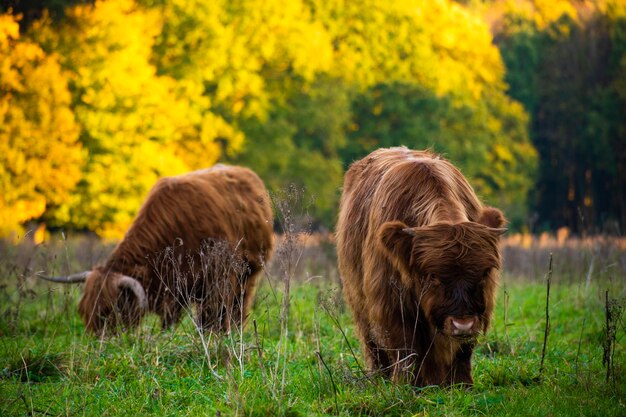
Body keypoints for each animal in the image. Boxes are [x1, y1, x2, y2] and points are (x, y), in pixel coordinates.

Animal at [39, 165, 272, 334]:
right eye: (83, 312)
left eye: (109, 311)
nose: (97, 344)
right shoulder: (172, 289)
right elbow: (169, 320)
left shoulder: (220, 278)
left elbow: (216, 313)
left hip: (249, 274)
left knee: (239, 306)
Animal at [334, 148, 504, 386]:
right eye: (433, 276)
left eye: (484, 273)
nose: (462, 324)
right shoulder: (390, 305)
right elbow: (406, 349)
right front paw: (403, 385)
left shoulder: (481, 308)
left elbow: (463, 352)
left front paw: (462, 384)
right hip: (358, 301)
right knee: (373, 343)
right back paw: (381, 377)